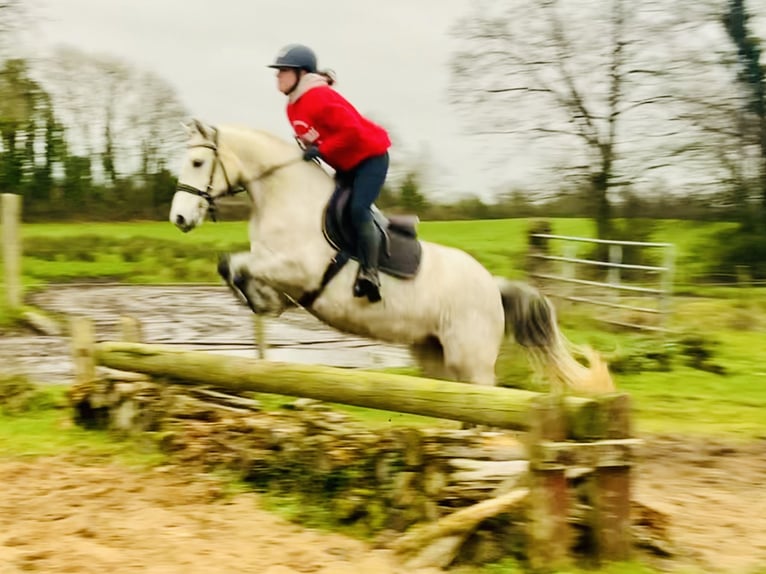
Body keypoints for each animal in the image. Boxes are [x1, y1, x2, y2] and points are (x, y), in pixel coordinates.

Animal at [171, 119, 616, 394]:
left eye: (197, 161)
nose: (178, 217)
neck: (285, 195)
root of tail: (493, 286)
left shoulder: (295, 267)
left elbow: (235, 264)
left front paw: (263, 301)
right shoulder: (273, 264)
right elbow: (231, 265)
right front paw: (264, 301)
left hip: (471, 360)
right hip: (435, 354)